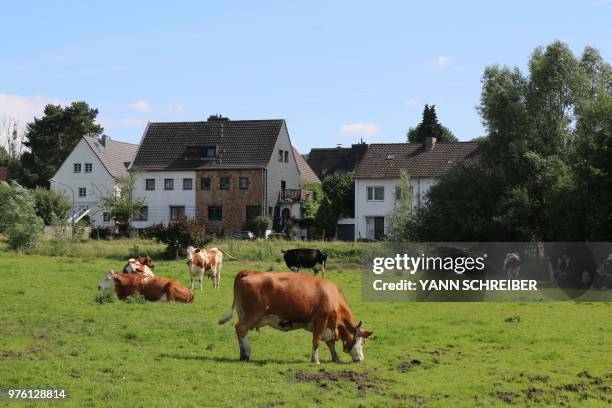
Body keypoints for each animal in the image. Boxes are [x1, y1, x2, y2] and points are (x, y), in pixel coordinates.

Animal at [220, 270, 372, 364]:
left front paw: (336, 359)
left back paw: (243, 353)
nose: (361, 359)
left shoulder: (329, 325)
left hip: (243, 314)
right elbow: (316, 341)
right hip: (252, 316)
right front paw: (315, 360)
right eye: (363, 342)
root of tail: (250, 272)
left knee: (241, 331)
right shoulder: (321, 320)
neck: (332, 295)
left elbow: (330, 344)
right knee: (240, 329)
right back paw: (245, 354)